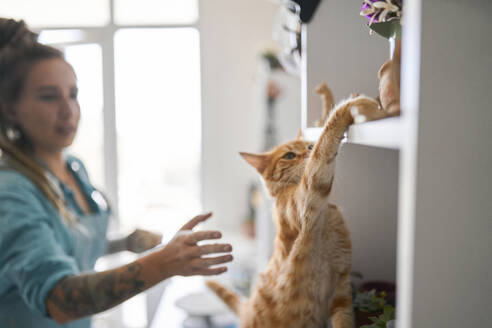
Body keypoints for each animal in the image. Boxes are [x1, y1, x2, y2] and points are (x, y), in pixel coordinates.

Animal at [206, 93, 378, 328]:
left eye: (309, 145)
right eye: (288, 155)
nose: (308, 149)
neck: (327, 212)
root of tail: (247, 309)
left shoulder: (340, 289)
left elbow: (343, 318)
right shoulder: (308, 193)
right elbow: (325, 145)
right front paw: (352, 105)